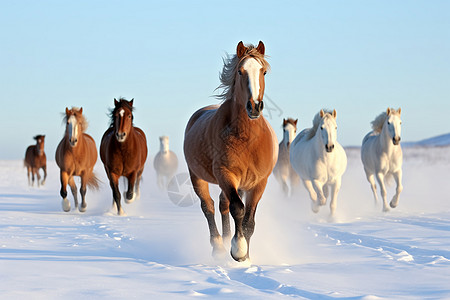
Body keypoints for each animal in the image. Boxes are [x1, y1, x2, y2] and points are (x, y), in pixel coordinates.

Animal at [183, 41, 278, 262]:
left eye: (263, 71)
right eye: (240, 71)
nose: (254, 107)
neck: (247, 139)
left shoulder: (259, 183)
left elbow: (249, 220)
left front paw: (246, 257)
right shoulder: (226, 174)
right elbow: (238, 209)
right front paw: (238, 250)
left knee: (221, 204)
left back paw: (227, 240)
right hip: (198, 177)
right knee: (208, 206)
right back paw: (219, 247)